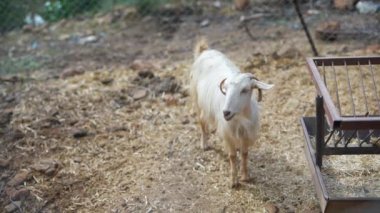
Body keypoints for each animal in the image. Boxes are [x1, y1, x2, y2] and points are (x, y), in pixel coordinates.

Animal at [190, 37, 274, 187]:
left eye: (245, 90)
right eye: (226, 88)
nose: (226, 113)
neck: (240, 117)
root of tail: (205, 51)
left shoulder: (246, 133)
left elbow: (245, 154)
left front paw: (245, 176)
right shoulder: (228, 134)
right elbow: (233, 156)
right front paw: (234, 181)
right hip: (197, 100)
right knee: (201, 121)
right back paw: (204, 144)